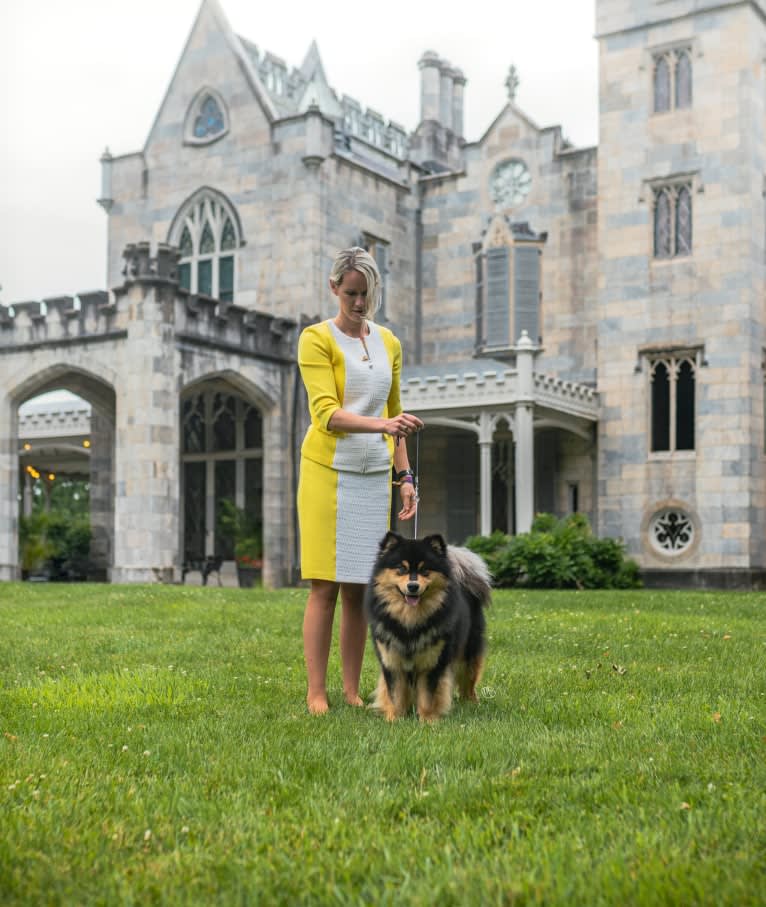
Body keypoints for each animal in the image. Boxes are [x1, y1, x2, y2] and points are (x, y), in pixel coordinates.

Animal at [364, 532, 492, 724]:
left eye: (425, 570)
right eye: (401, 569)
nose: (413, 586)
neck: (409, 623)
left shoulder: (432, 663)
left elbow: (427, 697)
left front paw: (428, 721)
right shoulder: (392, 661)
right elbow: (396, 695)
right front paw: (395, 719)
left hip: (468, 653)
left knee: (468, 681)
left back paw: (471, 703)